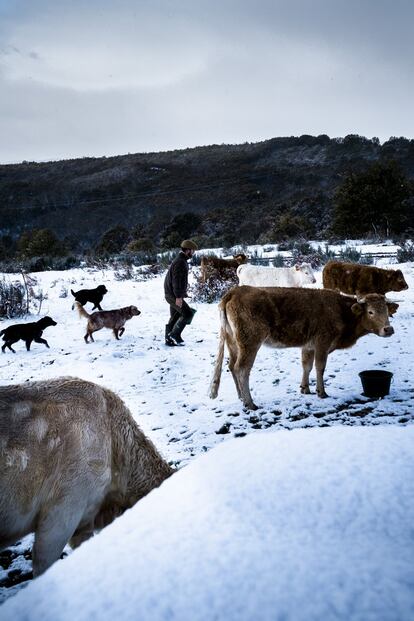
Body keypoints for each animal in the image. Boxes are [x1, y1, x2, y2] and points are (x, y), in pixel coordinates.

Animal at [210, 286, 398, 412]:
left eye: (387, 311)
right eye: (371, 312)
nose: (388, 329)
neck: (341, 311)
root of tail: (236, 291)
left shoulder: (308, 346)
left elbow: (306, 366)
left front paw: (305, 388)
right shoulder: (323, 342)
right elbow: (320, 367)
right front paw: (321, 392)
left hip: (233, 342)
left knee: (231, 366)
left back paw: (241, 397)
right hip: (250, 342)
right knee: (242, 369)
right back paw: (250, 403)